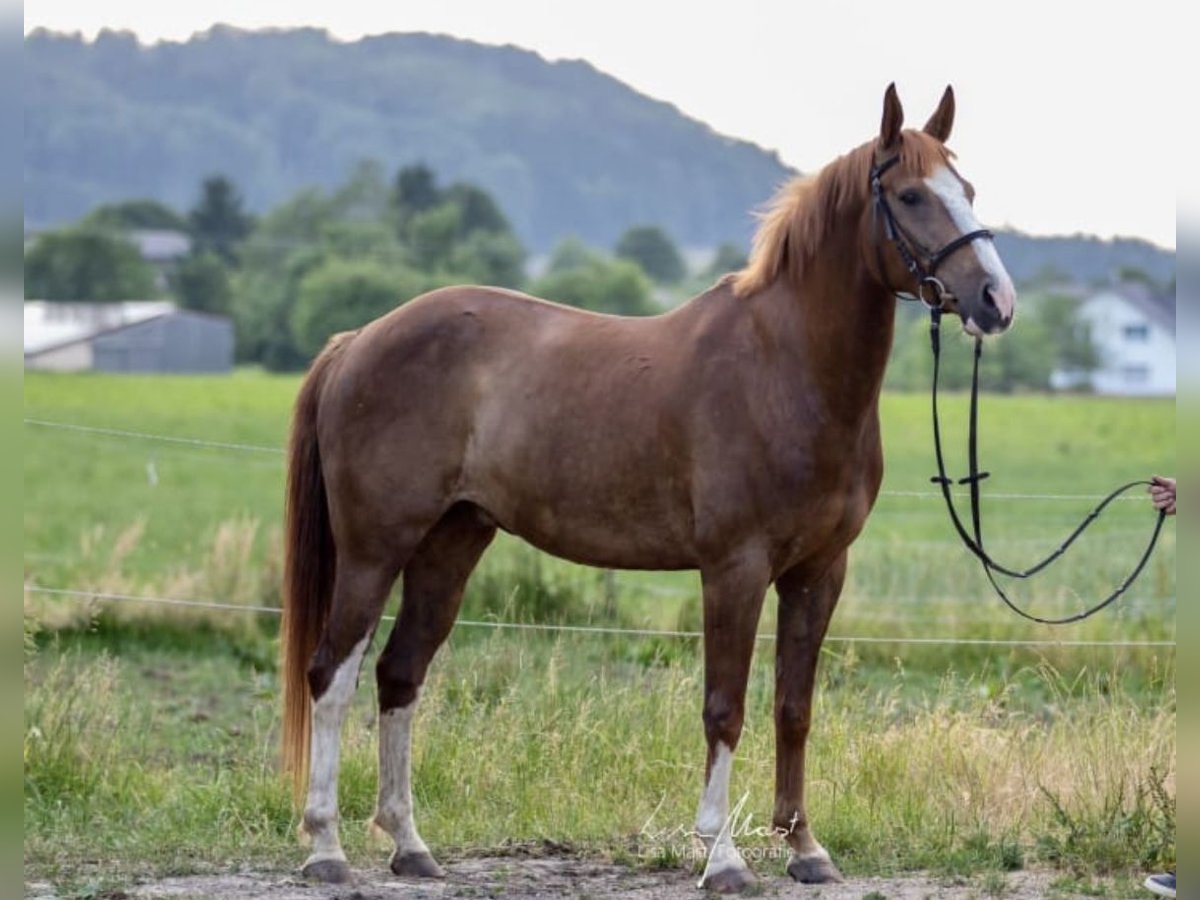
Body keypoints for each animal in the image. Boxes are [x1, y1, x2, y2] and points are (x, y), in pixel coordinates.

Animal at [278, 86, 1012, 897]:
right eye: (911, 195)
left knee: (399, 674)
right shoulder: (735, 568)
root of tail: (358, 341)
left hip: (451, 542)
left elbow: (793, 707)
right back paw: (325, 848)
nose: (995, 299)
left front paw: (804, 847)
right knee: (332, 674)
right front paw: (722, 856)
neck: (784, 368)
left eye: (966, 188)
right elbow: (724, 708)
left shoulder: (819, 572)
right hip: (375, 548)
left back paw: (410, 846)